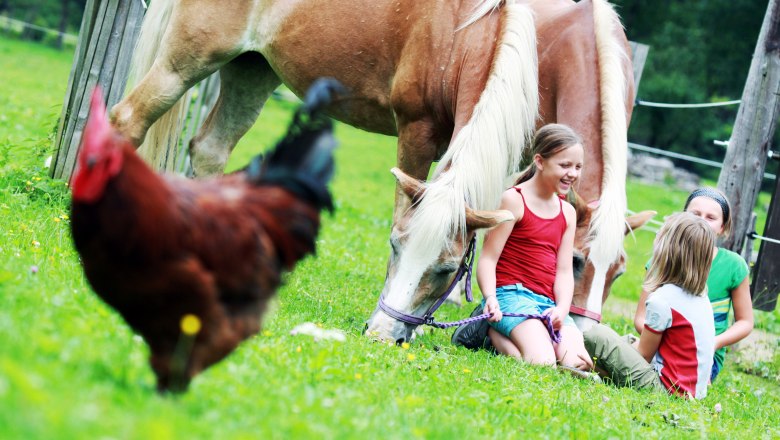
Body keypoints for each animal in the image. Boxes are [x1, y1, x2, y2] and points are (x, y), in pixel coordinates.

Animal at [109, 0, 644, 342]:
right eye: (576, 262)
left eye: (618, 272)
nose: (383, 334)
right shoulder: (418, 132)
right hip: (188, 60)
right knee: (127, 121)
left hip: (250, 70)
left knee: (210, 150)